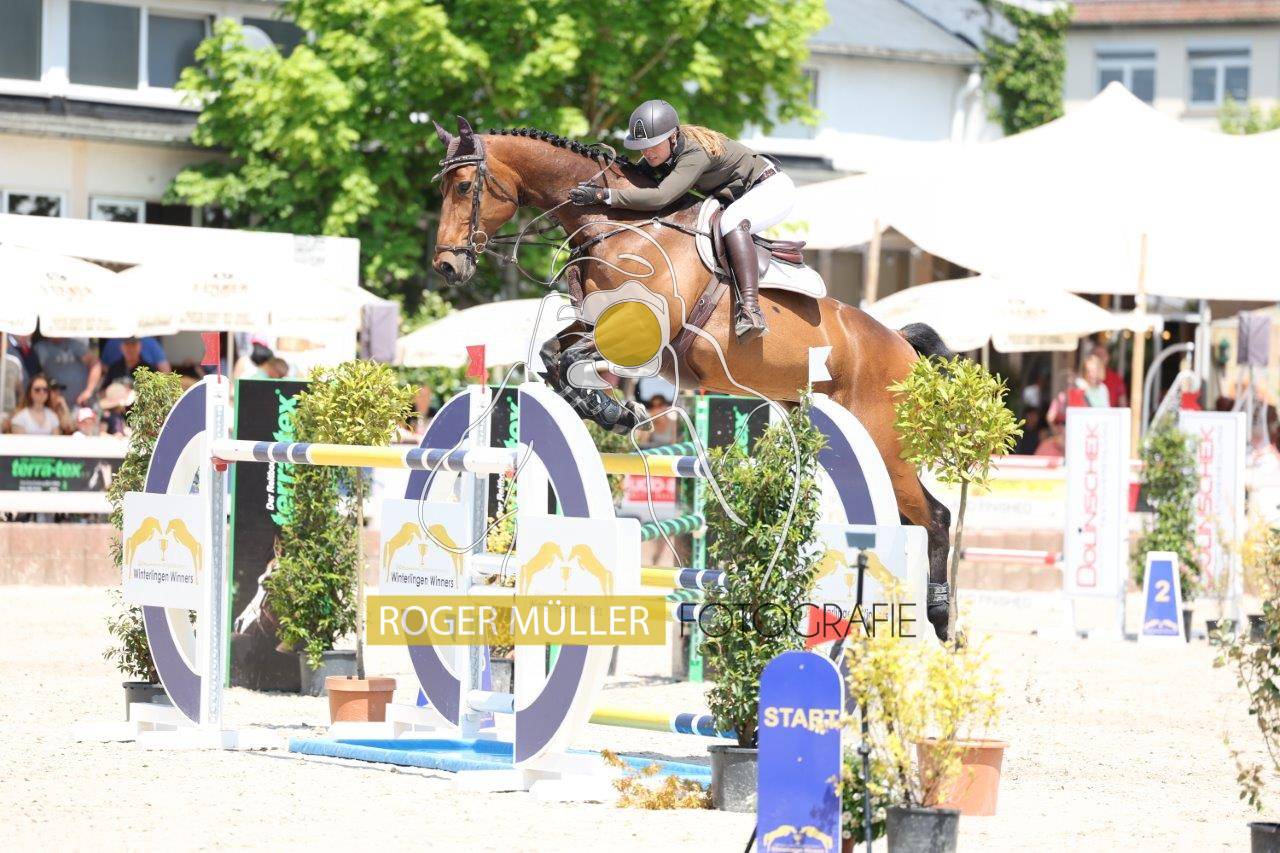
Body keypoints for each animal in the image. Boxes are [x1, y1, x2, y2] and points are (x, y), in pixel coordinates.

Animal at [429, 117, 955, 640]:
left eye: (463, 186)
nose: (446, 267)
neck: (620, 230)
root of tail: (901, 345)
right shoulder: (597, 324)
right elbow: (554, 355)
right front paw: (610, 411)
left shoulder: (644, 333)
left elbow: (568, 357)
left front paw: (614, 410)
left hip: (886, 447)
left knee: (936, 516)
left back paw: (939, 616)